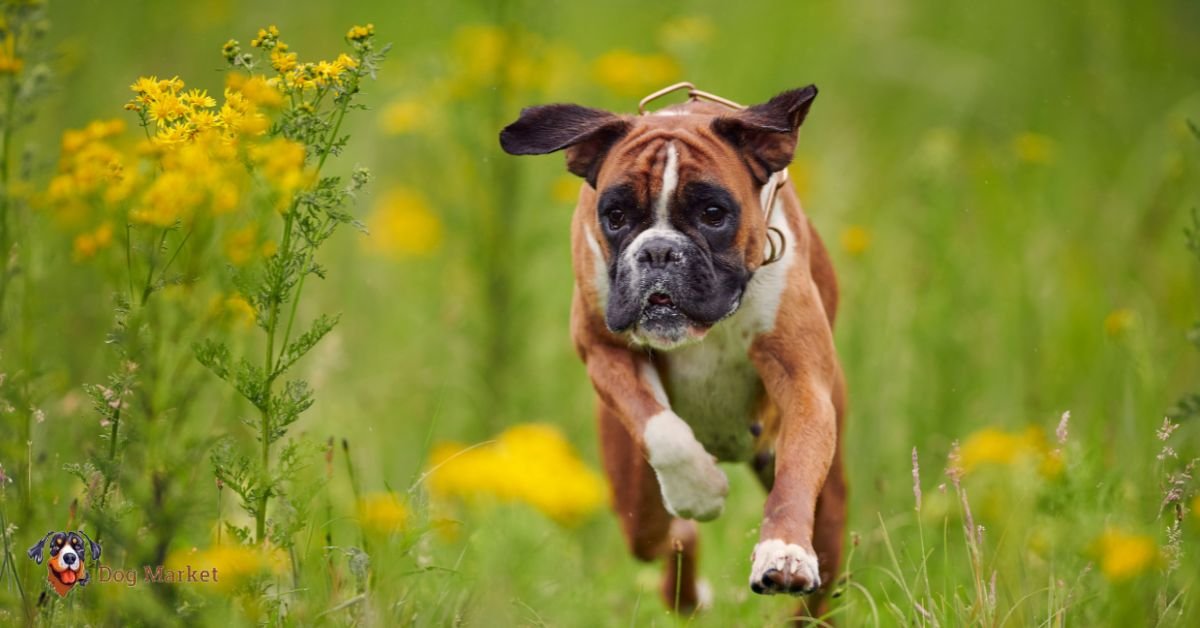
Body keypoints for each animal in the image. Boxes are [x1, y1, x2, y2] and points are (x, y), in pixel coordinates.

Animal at [501, 84, 849, 619]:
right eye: (615, 216)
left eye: (713, 214)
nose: (659, 251)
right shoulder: (602, 349)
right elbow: (660, 429)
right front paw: (699, 490)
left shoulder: (804, 382)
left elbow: (794, 480)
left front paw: (784, 551)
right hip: (634, 501)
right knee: (668, 536)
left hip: (830, 514)